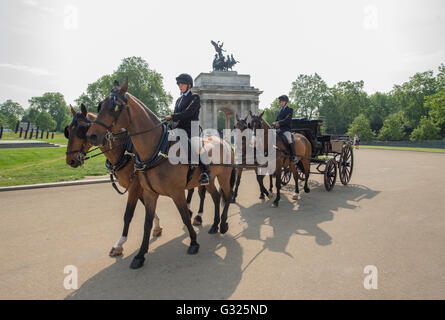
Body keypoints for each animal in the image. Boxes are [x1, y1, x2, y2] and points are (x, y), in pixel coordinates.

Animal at [63, 104, 205, 258]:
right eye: (68, 130)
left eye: (82, 130)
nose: (71, 160)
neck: (125, 150)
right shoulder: (141, 187)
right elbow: (147, 208)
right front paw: (157, 226)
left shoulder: (135, 187)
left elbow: (128, 214)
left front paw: (120, 243)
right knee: (191, 189)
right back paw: (190, 211)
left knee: (202, 193)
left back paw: (198, 216)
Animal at [84, 80, 234, 270]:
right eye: (100, 105)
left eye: (115, 107)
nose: (92, 135)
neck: (157, 149)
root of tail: (224, 141)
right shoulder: (149, 193)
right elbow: (146, 223)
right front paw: (140, 254)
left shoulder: (176, 192)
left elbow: (185, 216)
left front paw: (193, 242)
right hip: (209, 180)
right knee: (215, 197)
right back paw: (214, 225)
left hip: (224, 176)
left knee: (227, 196)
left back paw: (223, 224)